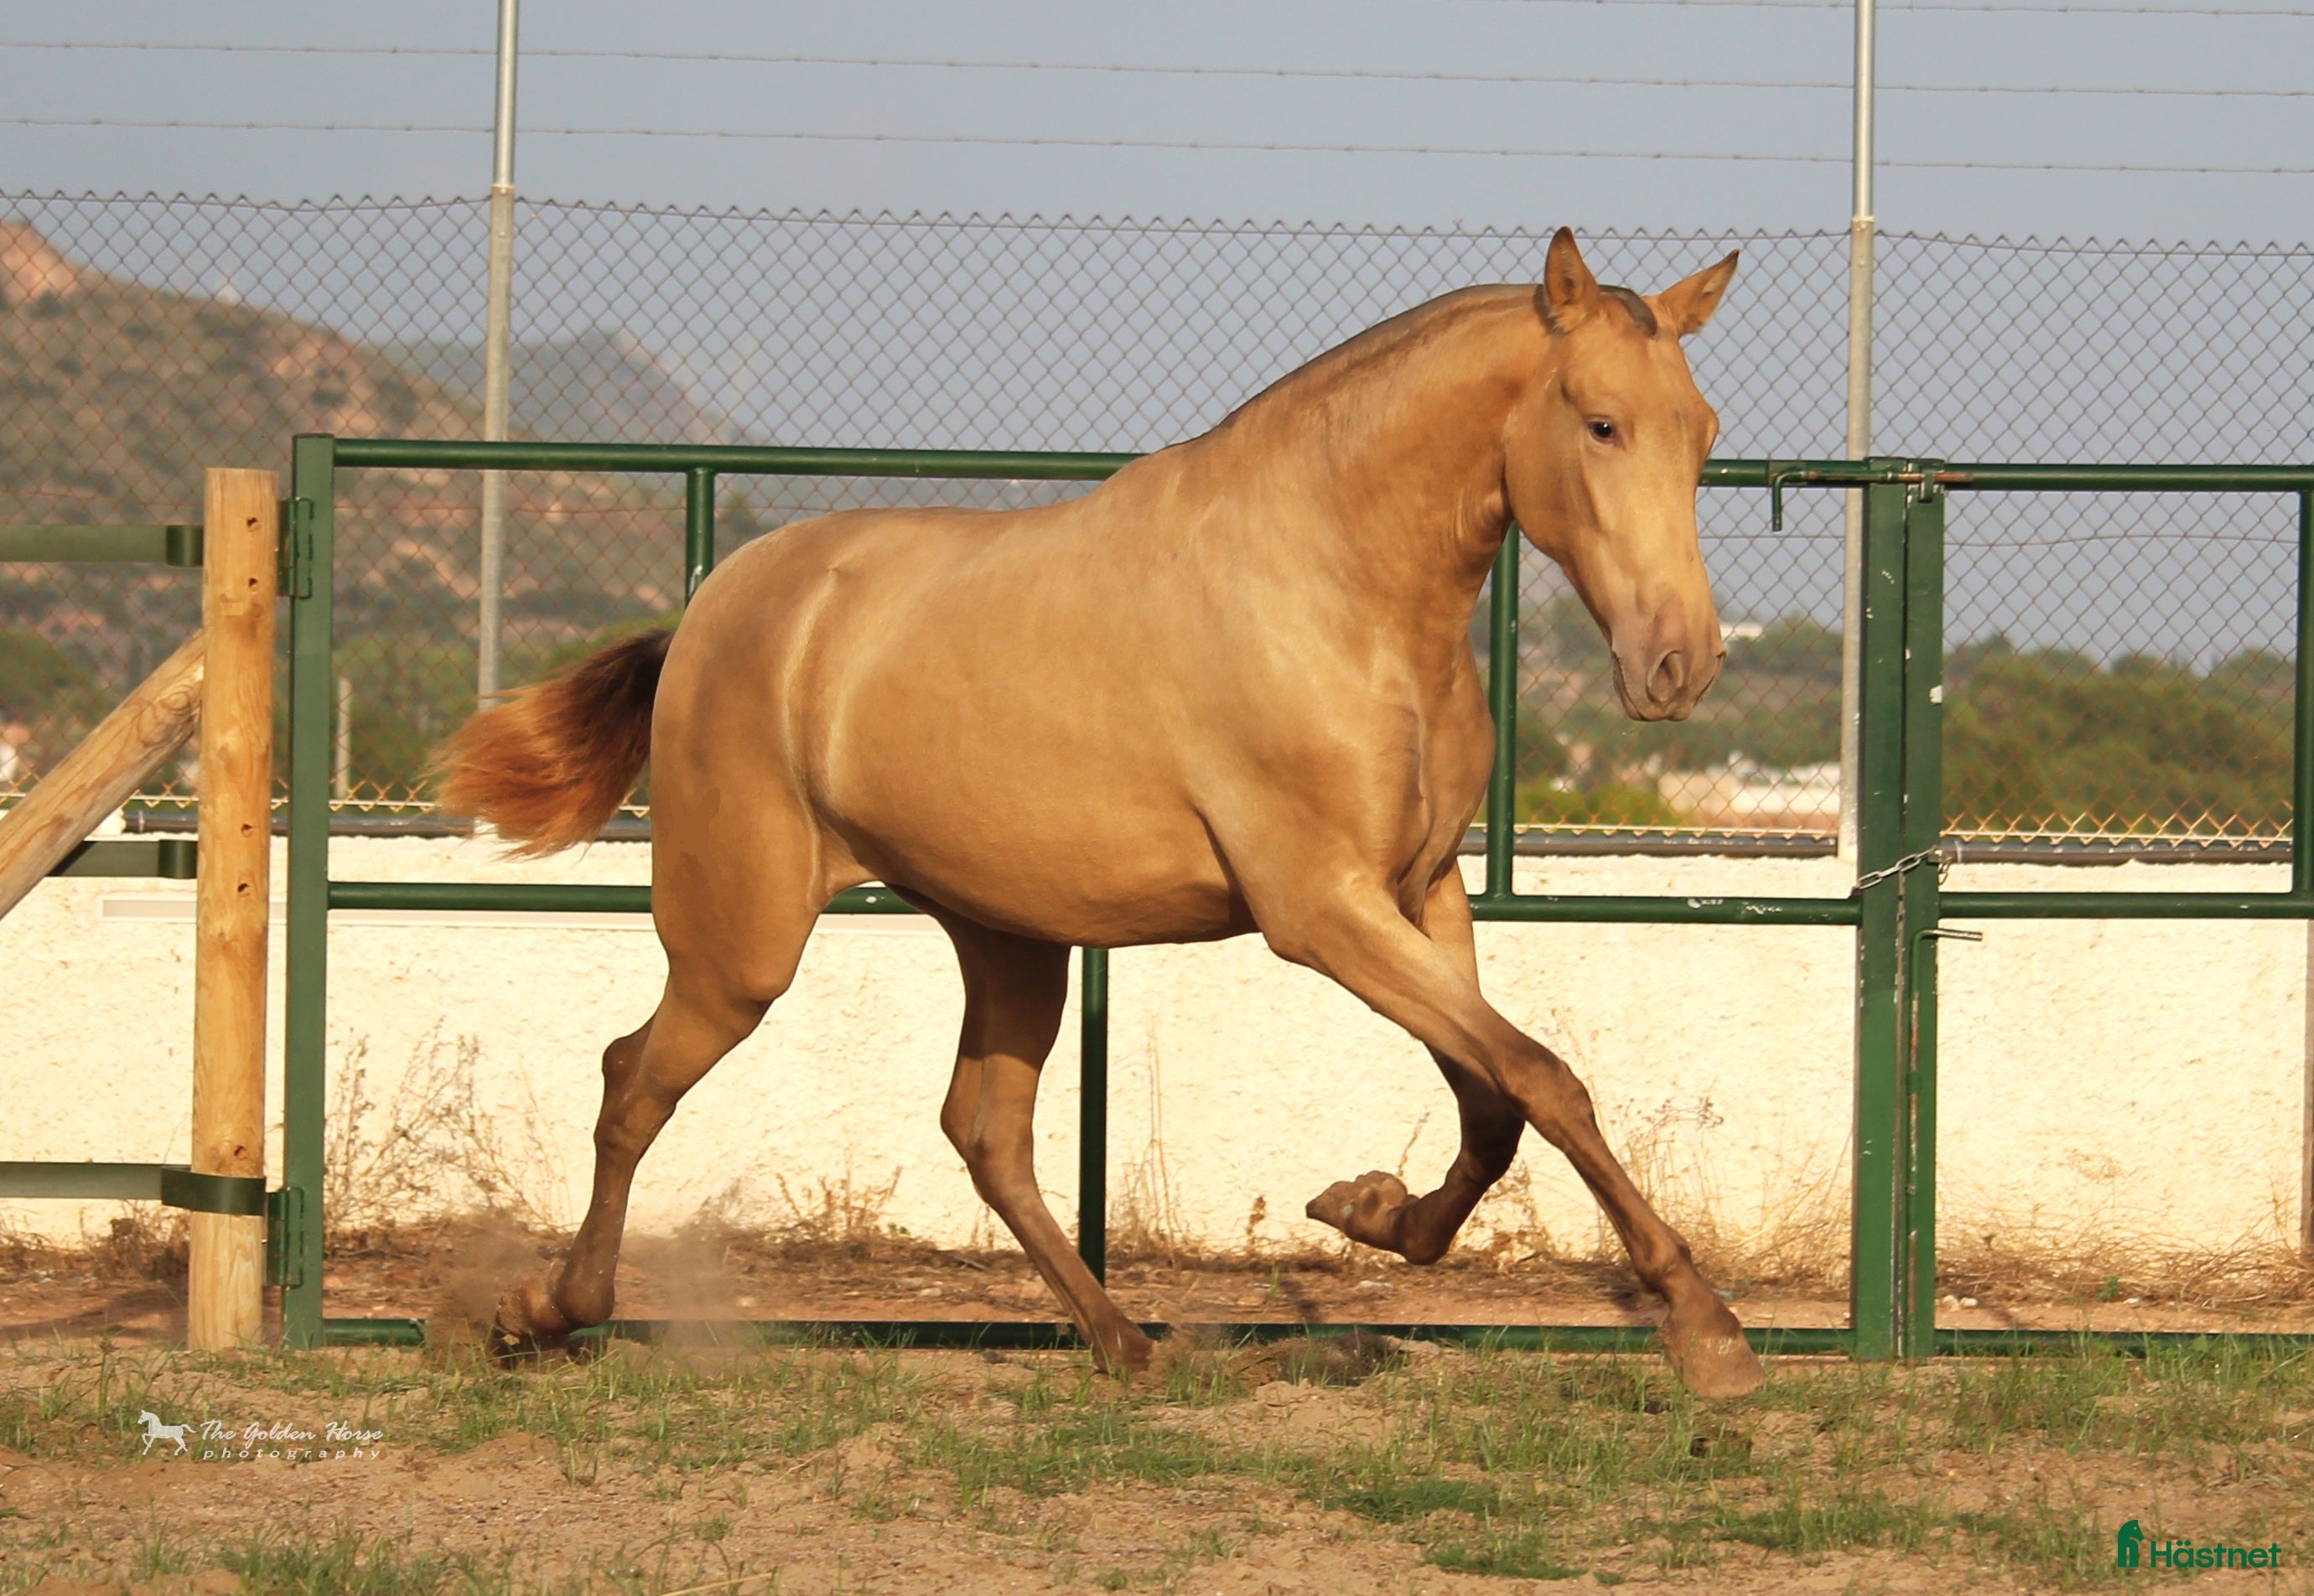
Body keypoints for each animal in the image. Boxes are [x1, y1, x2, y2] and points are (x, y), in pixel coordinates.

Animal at [439, 228, 1763, 1398]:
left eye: (1704, 431)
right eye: (1601, 422)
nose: (1680, 664)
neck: (1338, 586)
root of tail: (717, 607)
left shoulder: (1422, 895)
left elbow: (1498, 1100)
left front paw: (1367, 1209)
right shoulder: (1322, 911)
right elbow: (1546, 1077)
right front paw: (1709, 1335)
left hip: (1006, 937)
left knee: (984, 1131)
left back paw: (1128, 1346)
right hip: (741, 944)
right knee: (633, 1081)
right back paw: (540, 1313)